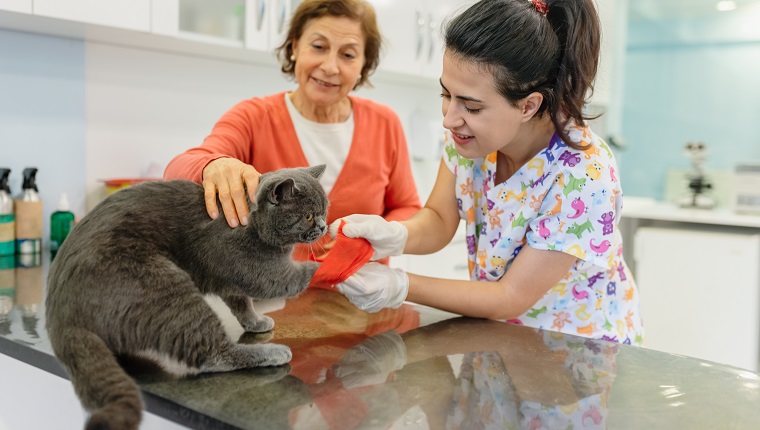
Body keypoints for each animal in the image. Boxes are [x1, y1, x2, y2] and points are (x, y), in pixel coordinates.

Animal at [44, 165, 328, 430]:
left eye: (325, 210)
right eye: (308, 216)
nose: (325, 226)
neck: (252, 222)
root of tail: (59, 316)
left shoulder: (230, 279)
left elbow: (240, 301)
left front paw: (256, 321)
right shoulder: (255, 269)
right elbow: (286, 279)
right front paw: (325, 264)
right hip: (166, 289)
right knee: (213, 355)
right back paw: (273, 352)